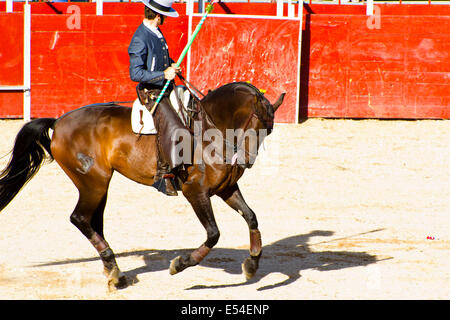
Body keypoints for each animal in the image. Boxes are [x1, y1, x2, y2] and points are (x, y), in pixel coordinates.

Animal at [0, 82, 284, 290]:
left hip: (99, 186)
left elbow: (251, 217)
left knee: (94, 221)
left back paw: (113, 271)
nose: (246, 161)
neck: (210, 134)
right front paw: (181, 263)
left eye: (269, 130)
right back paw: (114, 271)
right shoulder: (196, 192)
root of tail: (58, 122)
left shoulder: (226, 189)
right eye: (255, 123)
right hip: (93, 183)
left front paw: (252, 264)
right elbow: (213, 233)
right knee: (79, 218)